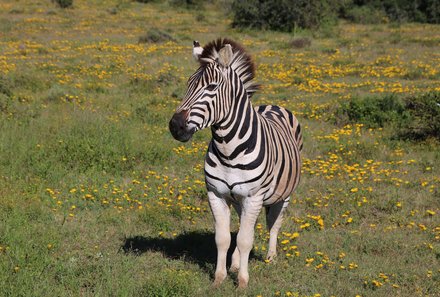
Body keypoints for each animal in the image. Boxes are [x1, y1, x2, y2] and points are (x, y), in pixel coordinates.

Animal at [169, 38, 302, 288]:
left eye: (211, 87)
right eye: (188, 85)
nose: (175, 126)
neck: (228, 150)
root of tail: (273, 105)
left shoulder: (253, 197)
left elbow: (245, 240)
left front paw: (242, 282)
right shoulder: (216, 194)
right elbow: (223, 238)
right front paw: (220, 278)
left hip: (284, 195)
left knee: (274, 223)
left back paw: (271, 257)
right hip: (239, 199)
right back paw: (235, 263)